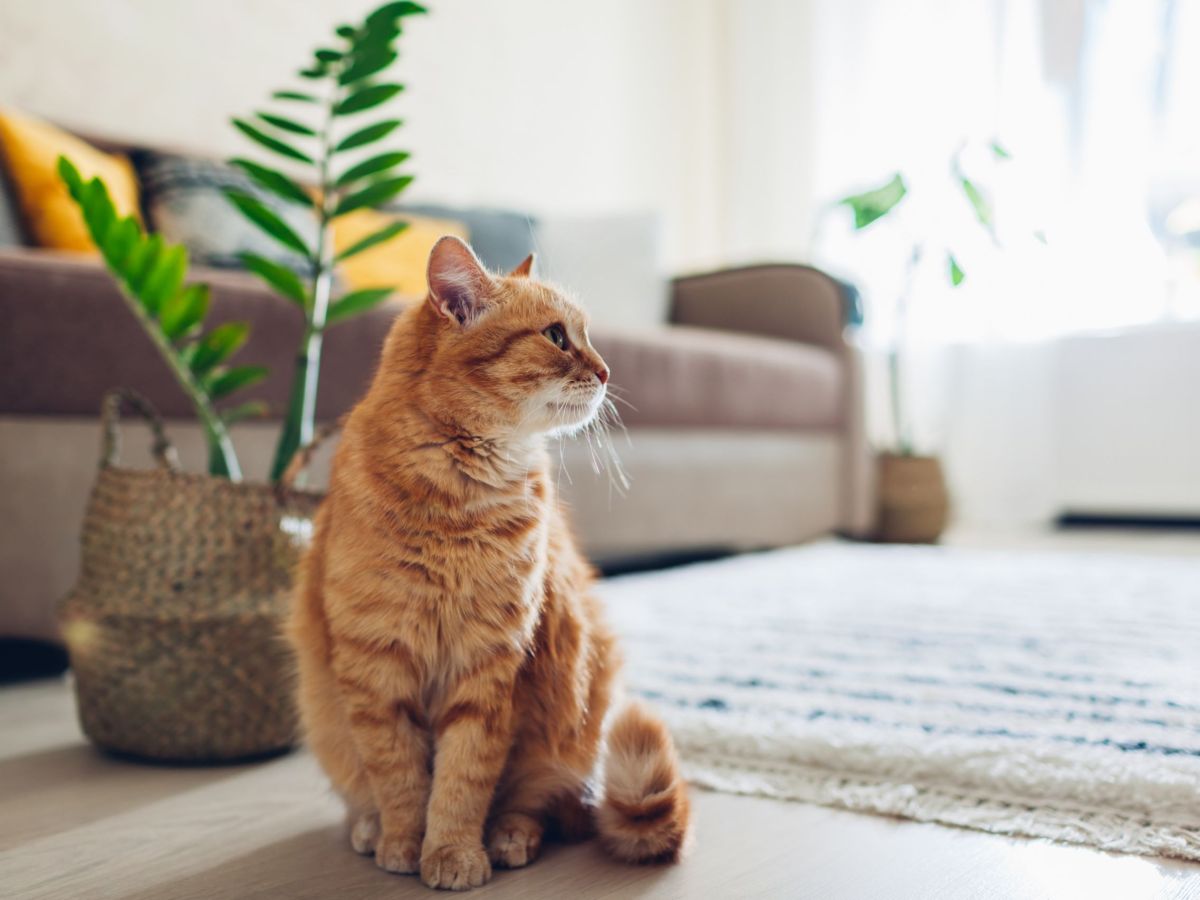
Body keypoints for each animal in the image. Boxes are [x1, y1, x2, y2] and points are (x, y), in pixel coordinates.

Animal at [284, 236, 691, 892]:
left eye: (584, 335)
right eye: (556, 336)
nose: (607, 371)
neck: (457, 502)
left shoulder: (490, 666)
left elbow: (462, 779)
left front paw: (452, 851)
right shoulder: (376, 669)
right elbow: (399, 777)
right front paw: (404, 842)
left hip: (575, 711)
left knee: (539, 803)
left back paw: (508, 836)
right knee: (362, 790)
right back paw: (369, 828)